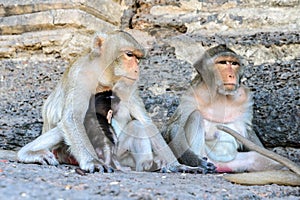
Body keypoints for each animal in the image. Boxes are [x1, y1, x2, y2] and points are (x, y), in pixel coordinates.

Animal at [163, 44, 284, 173]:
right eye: (222, 62)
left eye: (234, 63)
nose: (231, 75)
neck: (219, 94)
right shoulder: (191, 95)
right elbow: (174, 127)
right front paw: (197, 162)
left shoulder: (245, 97)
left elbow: (248, 132)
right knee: (196, 116)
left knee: (257, 158)